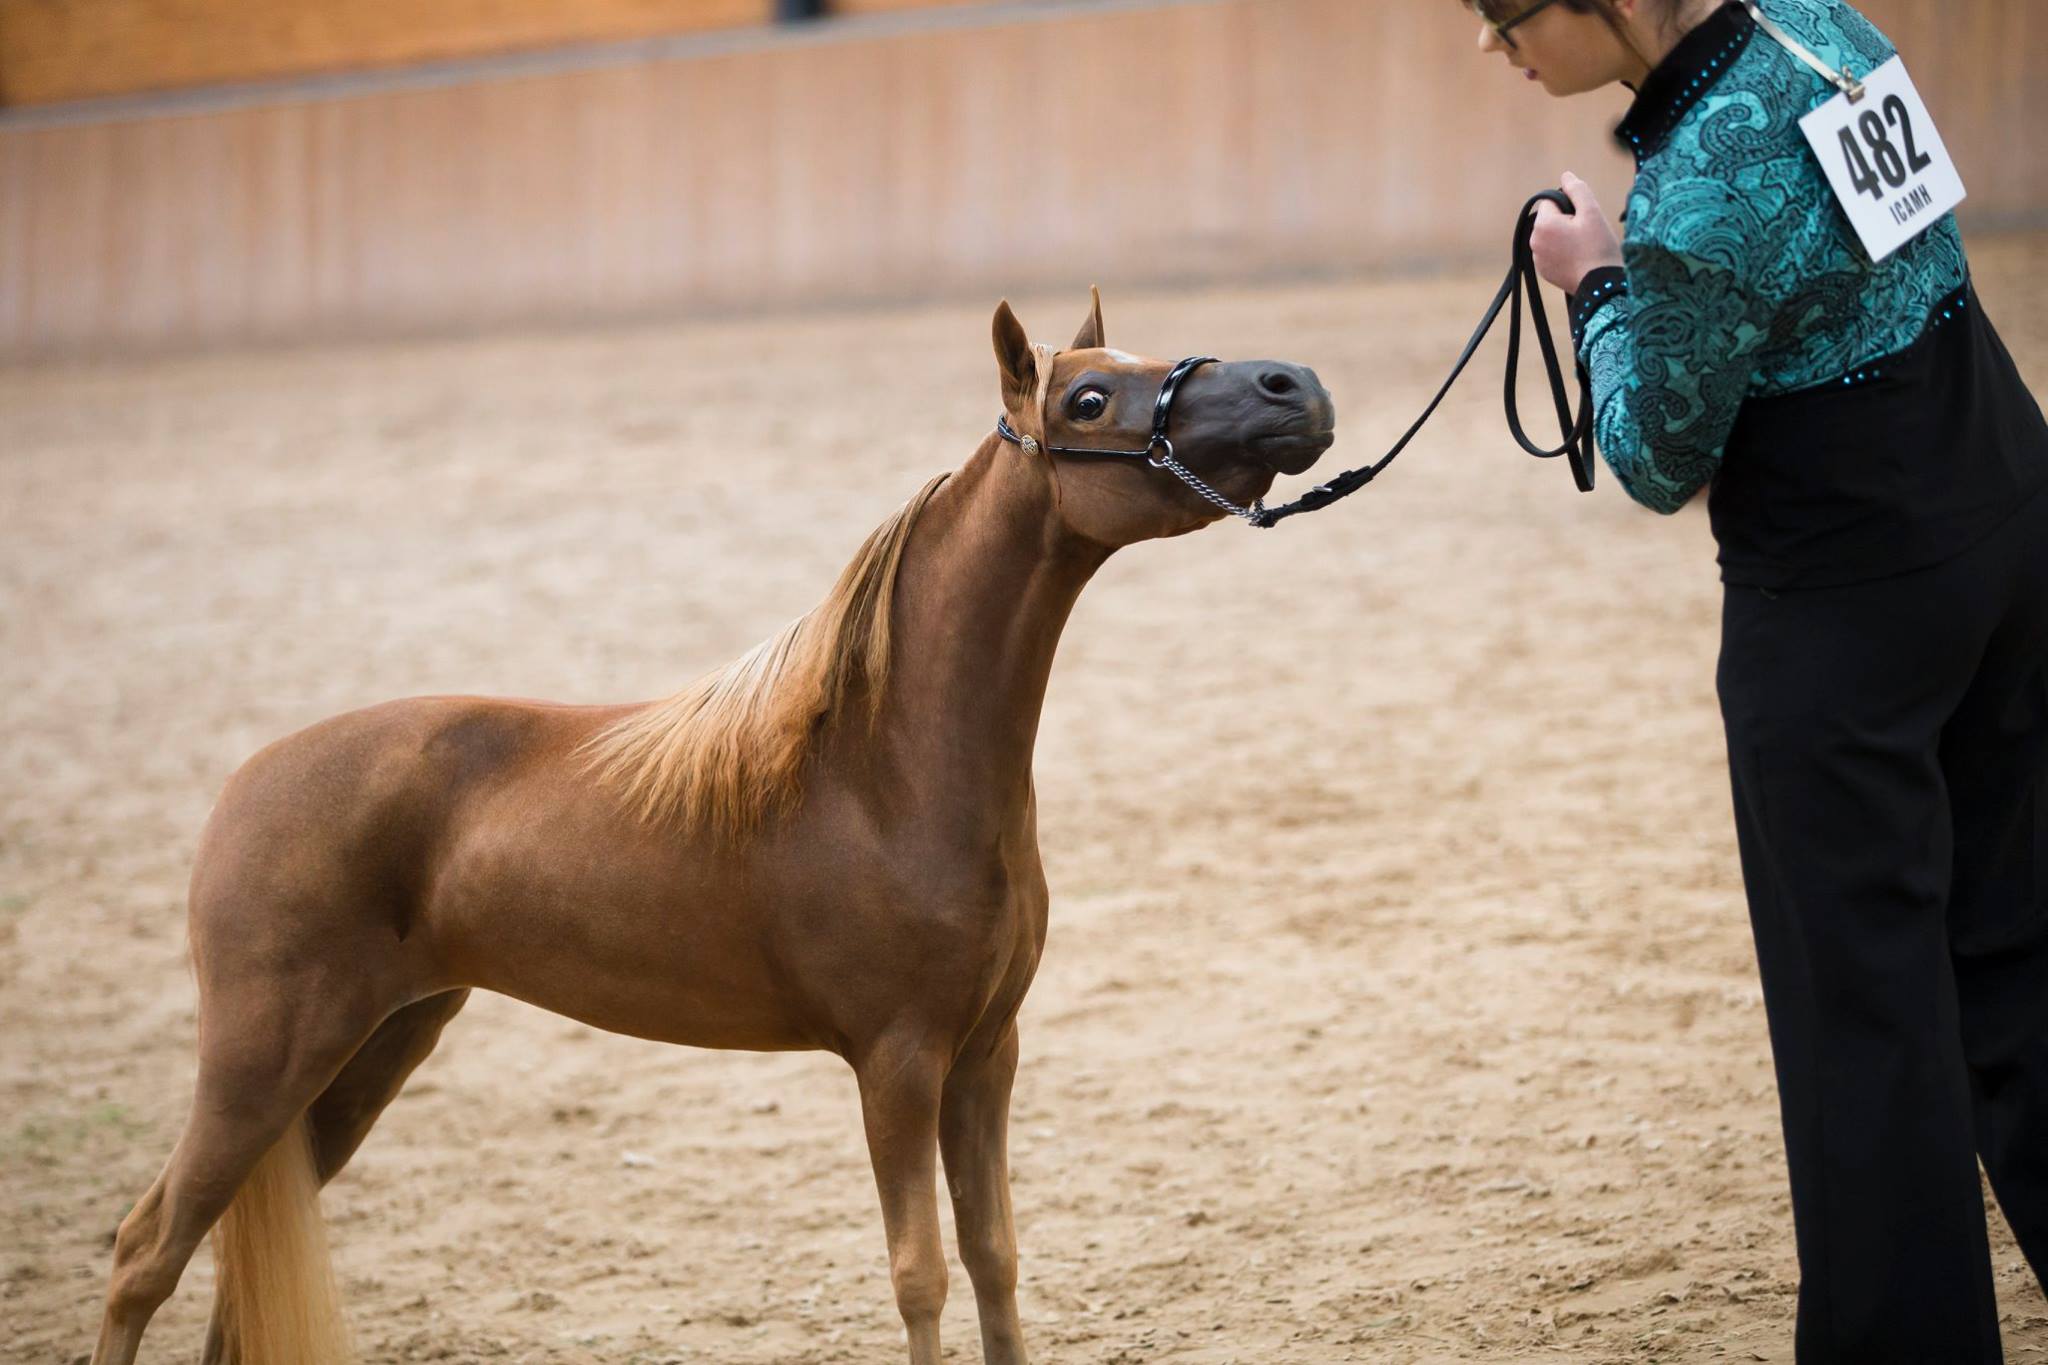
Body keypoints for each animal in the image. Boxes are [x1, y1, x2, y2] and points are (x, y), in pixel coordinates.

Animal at [88, 292, 1335, 1365]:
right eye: (1085, 399)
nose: (1294, 386)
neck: (882, 771)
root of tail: (246, 788)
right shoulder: (897, 1063)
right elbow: (919, 1275)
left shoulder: (987, 1056)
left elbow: (993, 1261)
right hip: (261, 1064)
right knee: (144, 1254)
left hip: (364, 1056)